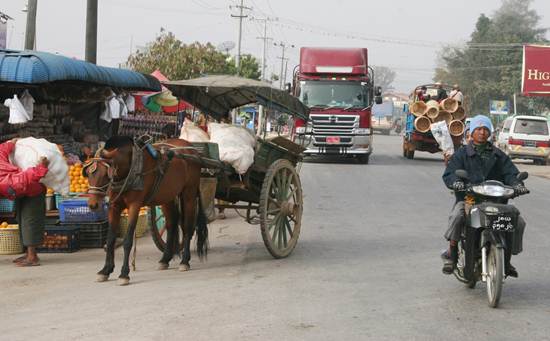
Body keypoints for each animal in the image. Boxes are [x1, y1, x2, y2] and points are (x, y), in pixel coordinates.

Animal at [85, 135, 208, 284]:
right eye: (88, 174)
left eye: (105, 175)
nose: (93, 205)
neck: (130, 167)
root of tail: (192, 150)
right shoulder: (114, 206)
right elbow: (110, 240)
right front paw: (105, 270)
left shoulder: (135, 205)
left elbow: (127, 241)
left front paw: (124, 274)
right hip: (167, 196)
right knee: (172, 224)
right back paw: (165, 259)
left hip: (189, 193)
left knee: (187, 227)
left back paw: (184, 261)